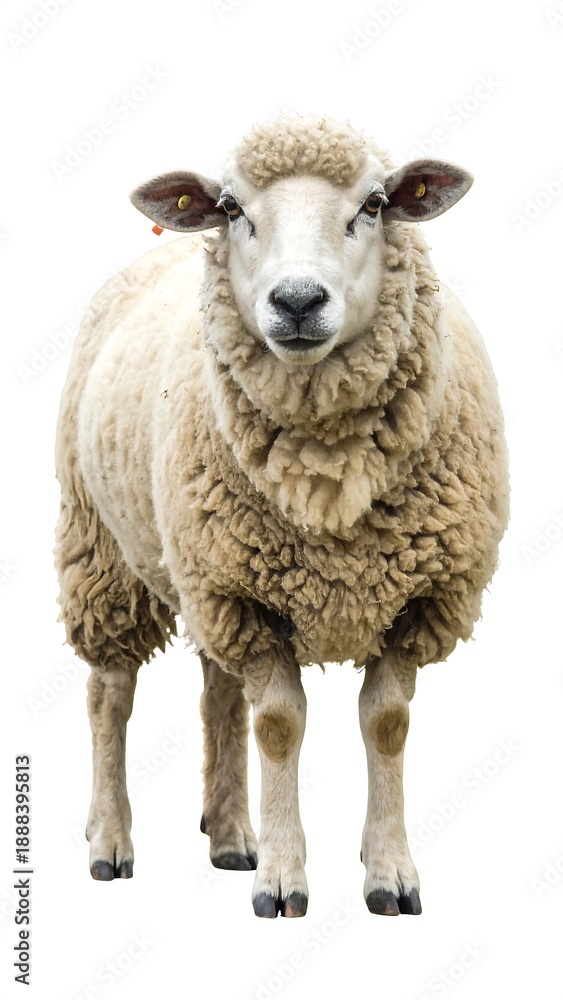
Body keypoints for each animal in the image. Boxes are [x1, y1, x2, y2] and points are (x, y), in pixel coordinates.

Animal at [55, 114, 509, 918]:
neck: (326, 474)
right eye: (232, 208)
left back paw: (232, 833)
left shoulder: (413, 598)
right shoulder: (248, 598)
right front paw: (282, 880)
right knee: (109, 694)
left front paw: (389, 873)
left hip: (205, 572)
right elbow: (278, 724)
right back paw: (110, 840)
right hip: (105, 553)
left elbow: (384, 723)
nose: (297, 300)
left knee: (216, 695)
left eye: (375, 204)